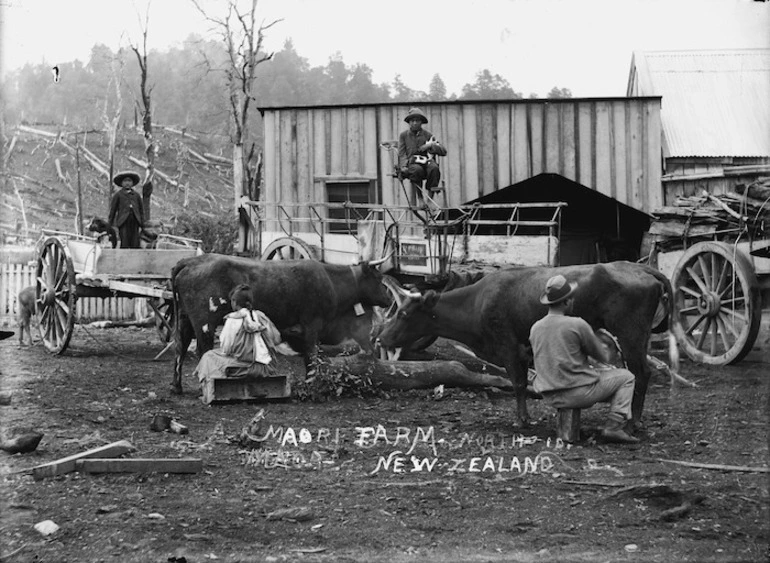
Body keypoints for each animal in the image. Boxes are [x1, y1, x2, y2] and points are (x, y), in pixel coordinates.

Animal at [170, 254, 390, 392]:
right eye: (378, 277)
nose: (388, 300)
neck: (331, 280)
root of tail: (190, 261)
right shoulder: (312, 326)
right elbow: (311, 356)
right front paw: (312, 382)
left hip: (184, 319)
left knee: (181, 347)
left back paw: (176, 386)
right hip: (204, 322)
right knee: (202, 349)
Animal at [378, 262, 672, 430]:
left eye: (403, 314)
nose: (381, 337)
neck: (477, 302)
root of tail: (641, 268)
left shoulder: (508, 347)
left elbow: (518, 384)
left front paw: (521, 420)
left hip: (631, 334)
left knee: (642, 373)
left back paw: (635, 421)